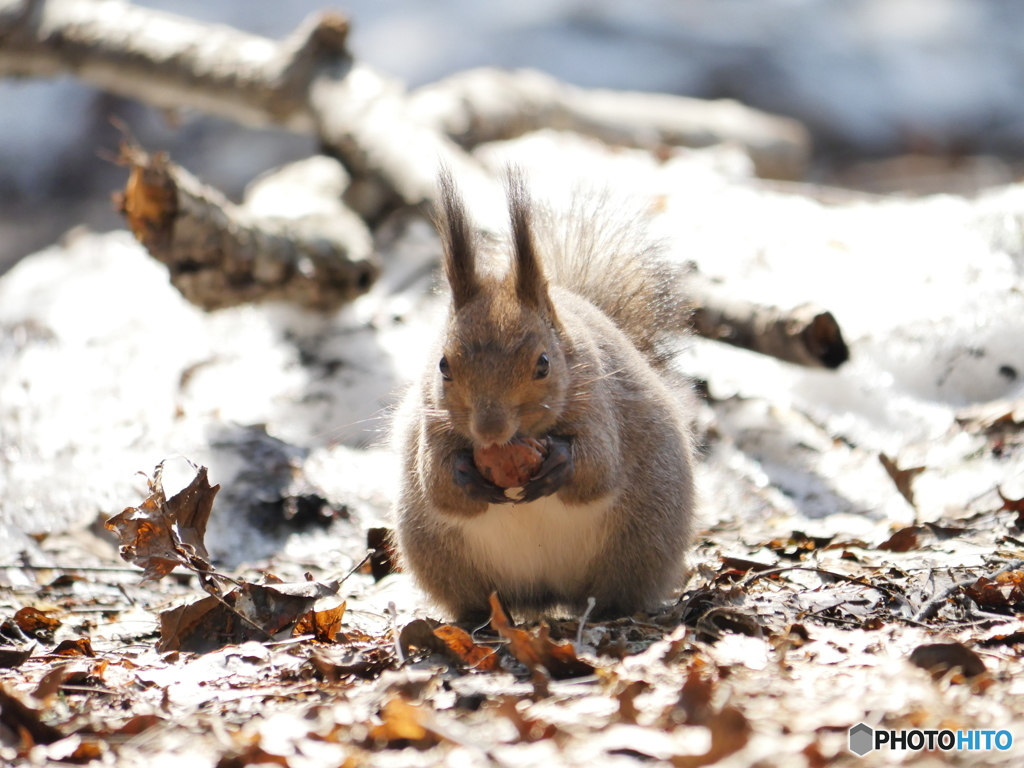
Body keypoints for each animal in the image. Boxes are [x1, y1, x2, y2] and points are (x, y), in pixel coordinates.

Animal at [389, 167, 696, 626]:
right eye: (443, 365)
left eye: (544, 364)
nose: (490, 430)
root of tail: (545, 594)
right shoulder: (431, 421)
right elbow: (437, 482)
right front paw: (463, 474)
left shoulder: (598, 402)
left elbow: (598, 468)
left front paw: (561, 462)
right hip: (441, 555)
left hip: (642, 539)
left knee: (615, 589)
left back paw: (610, 612)